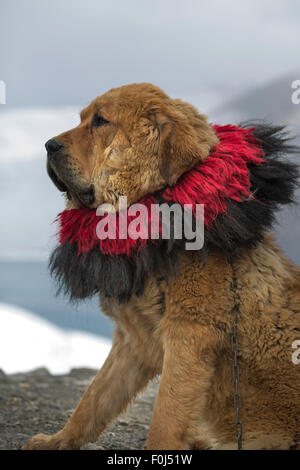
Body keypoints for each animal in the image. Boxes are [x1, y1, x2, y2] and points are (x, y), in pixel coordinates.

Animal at [23, 83, 300, 448]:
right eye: (81, 118)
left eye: (100, 121)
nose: (48, 145)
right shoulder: (132, 340)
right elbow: (93, 400)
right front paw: (57, 440)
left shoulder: (189, 336)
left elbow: (165, 419)